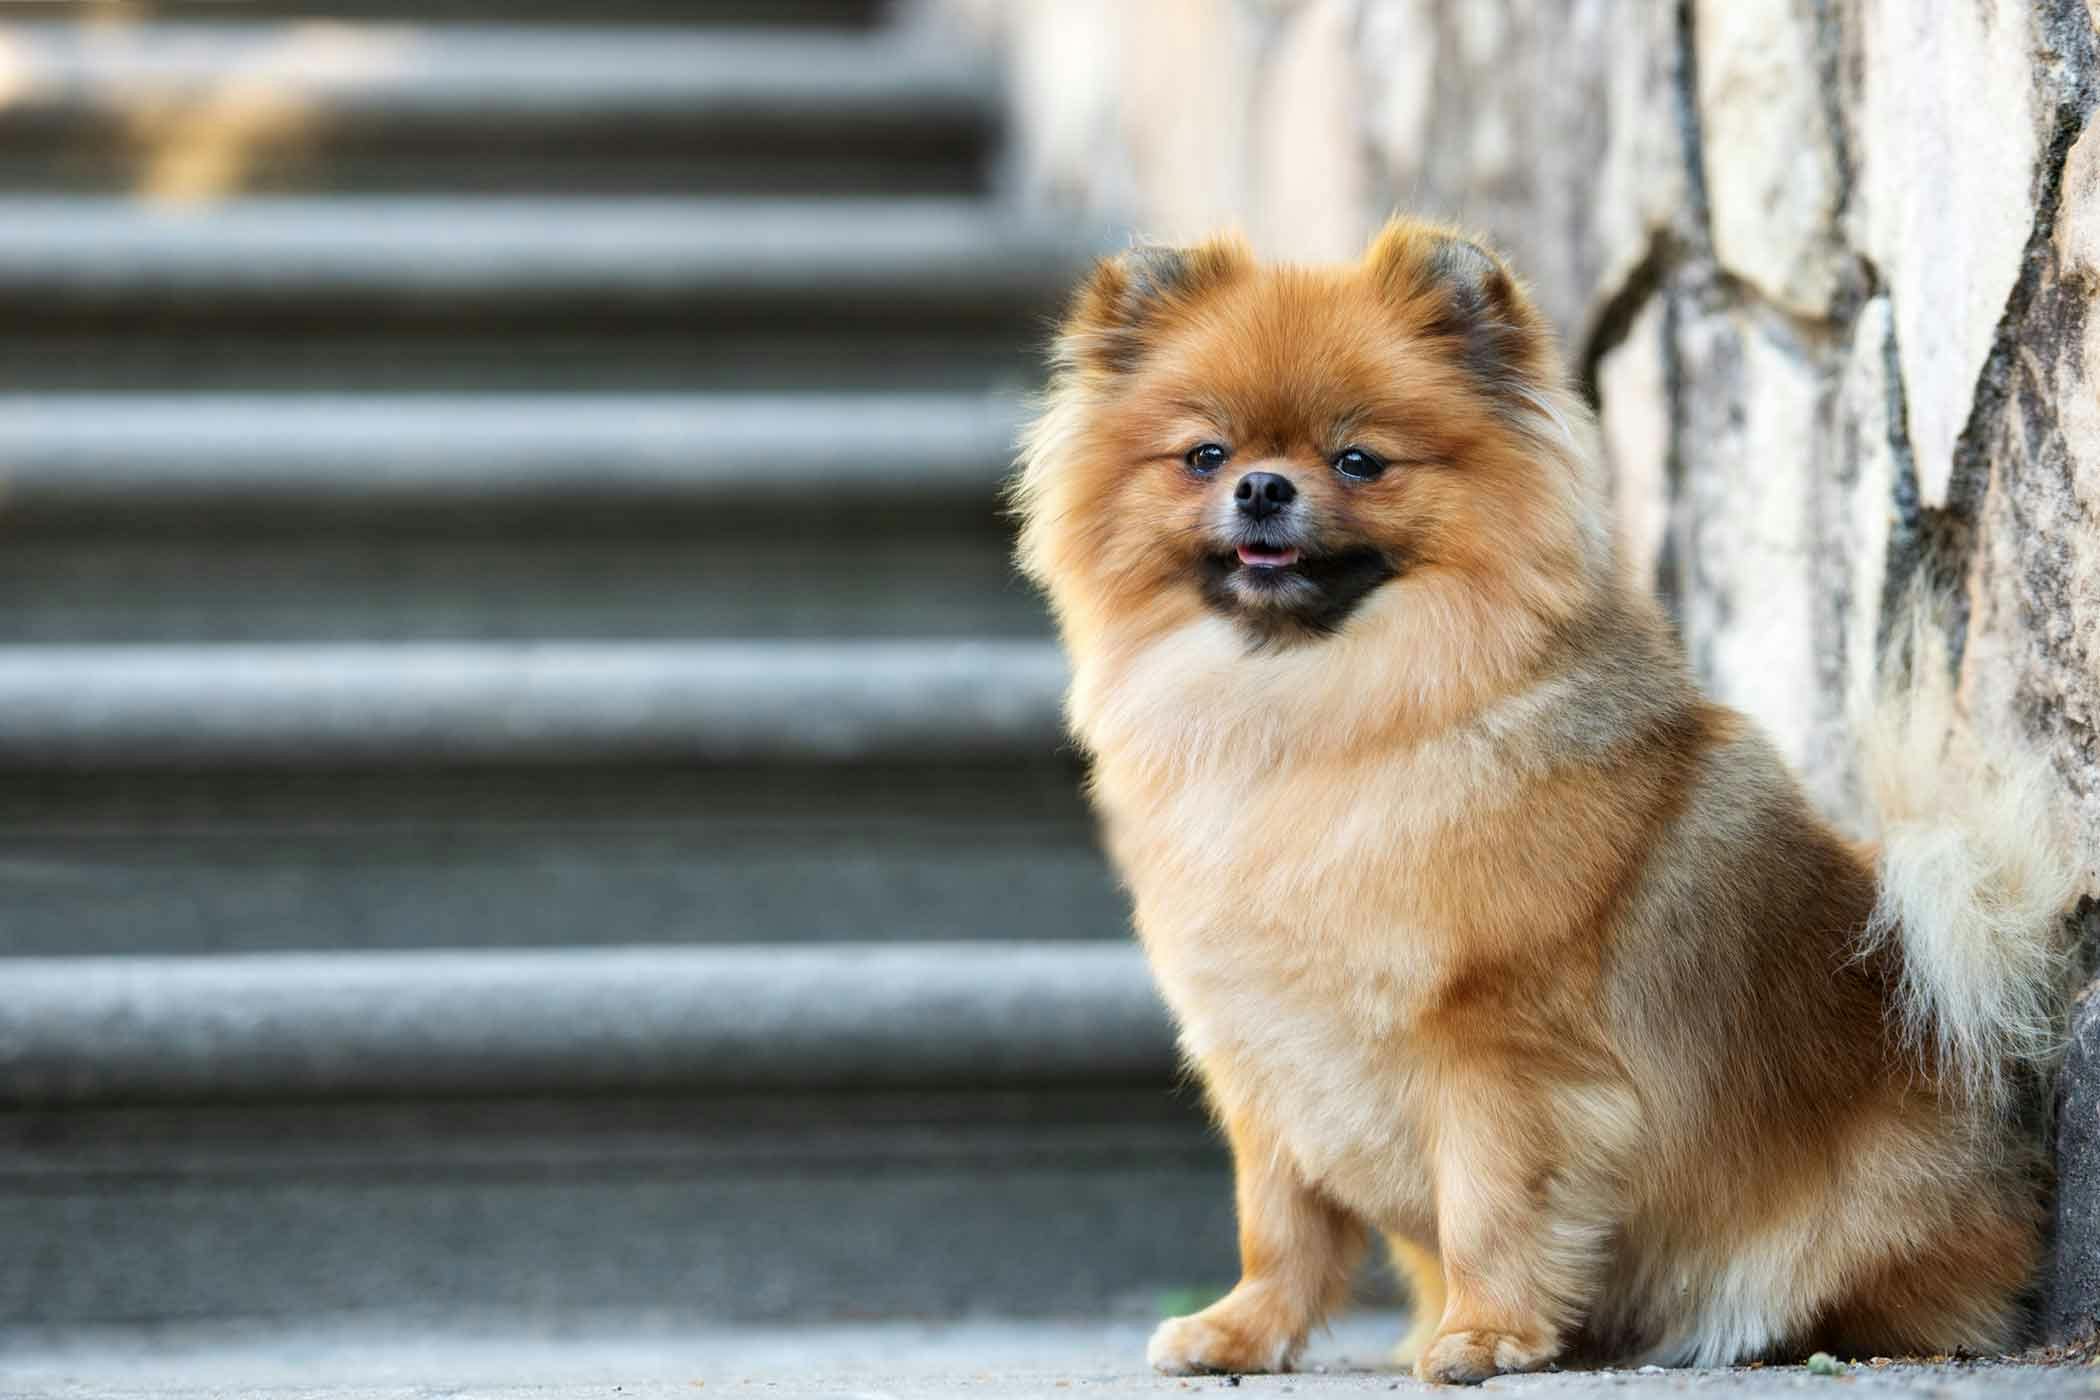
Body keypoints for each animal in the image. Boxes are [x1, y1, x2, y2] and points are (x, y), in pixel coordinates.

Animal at [1016, 219, 2083, 1376]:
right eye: (1204, 454)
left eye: (1358, 460)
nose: (1261, 487)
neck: (1312, 712)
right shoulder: (1265, 1049)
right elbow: (1281, 1220)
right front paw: (1243, 1329)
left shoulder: (1502, 1046)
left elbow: (1491, 1203)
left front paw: (1484, 1334)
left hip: (1866, 1205)